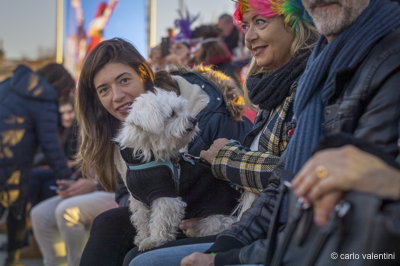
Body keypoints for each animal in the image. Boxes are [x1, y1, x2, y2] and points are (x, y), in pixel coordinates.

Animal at [114, 88, 236, 250]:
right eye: (172, 113)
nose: (194, 120)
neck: (146, 156)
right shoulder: (138, 199)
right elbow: (142, 220)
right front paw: (143, 237)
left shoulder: (165, 195)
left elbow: (160, 219)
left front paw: (154, 240)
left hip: (214, 218)